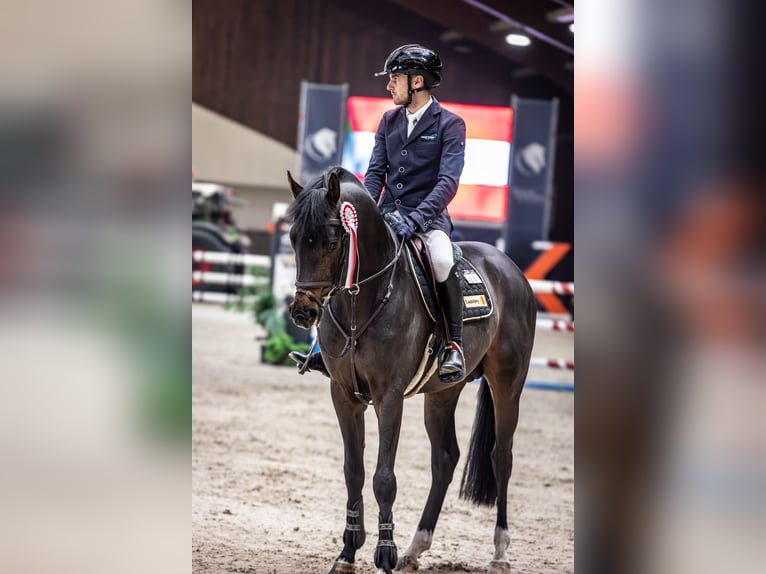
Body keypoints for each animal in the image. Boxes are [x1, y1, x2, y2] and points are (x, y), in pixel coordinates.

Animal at [284, 168, 536, 574]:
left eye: (332, 239)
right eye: (292, 237)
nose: (303, 312)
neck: (362, 302)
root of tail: (508, 266)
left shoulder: (389, 396)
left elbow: (384, 477)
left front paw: (384, 553)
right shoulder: (343, 395)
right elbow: (353, 471)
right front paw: (347, 553)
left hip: (507, 384)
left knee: (502, 457)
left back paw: (499, 552)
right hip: (443, 393)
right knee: (445, 458)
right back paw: (416, 548)